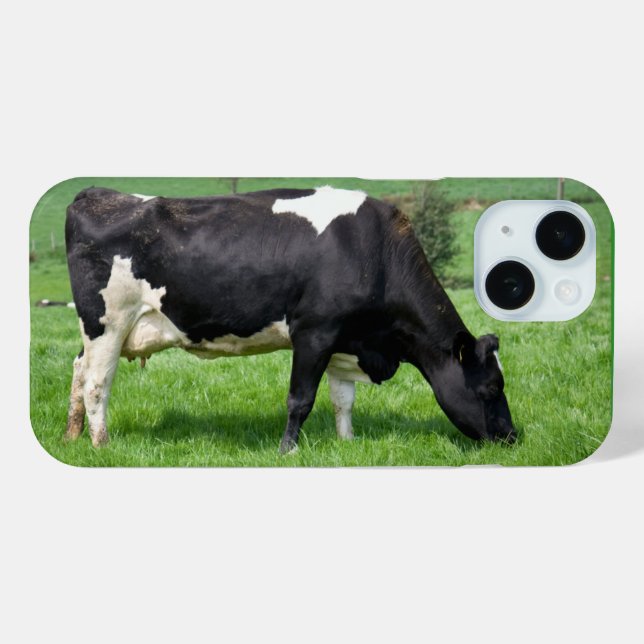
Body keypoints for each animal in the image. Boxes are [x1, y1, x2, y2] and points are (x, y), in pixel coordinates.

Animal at [64, 186, 516, 453]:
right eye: (491, 387)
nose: (512, 437)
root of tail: (97, 193)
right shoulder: (314, 332)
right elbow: (301, 399)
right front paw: (289, 450)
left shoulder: (343, 339)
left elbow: (343, 398)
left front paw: (347, 443)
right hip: (108, 322)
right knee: (97, 383)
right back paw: (101, 445)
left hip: (98, 330)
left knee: (78, 370)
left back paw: (72, 434)